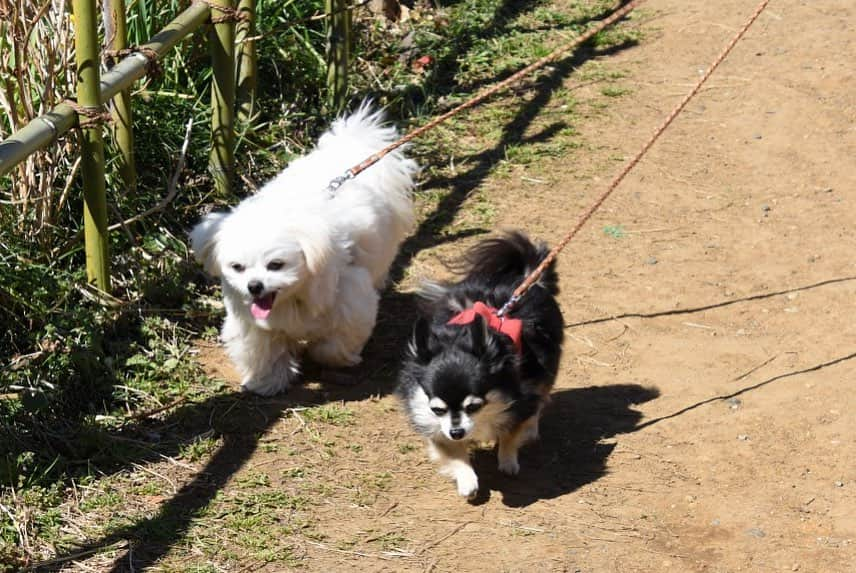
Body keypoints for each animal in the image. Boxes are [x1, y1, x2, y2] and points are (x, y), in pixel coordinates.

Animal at [194, 105, 422, 394]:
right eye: (237, 268)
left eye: (276, 265)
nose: (254, 286)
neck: (292, 297)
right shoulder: (253, 325)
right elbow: (265, 352)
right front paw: (266, 382)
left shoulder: (349, 299)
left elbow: (333, 343)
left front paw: (334, 357)